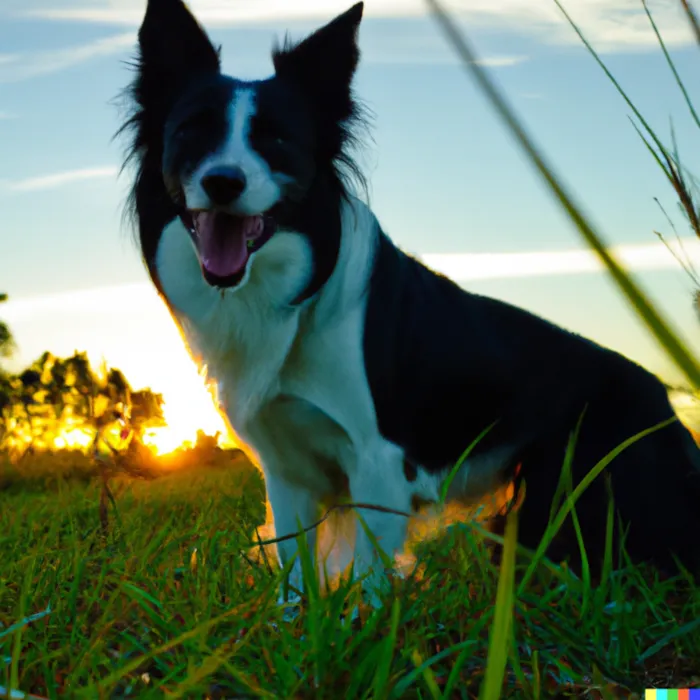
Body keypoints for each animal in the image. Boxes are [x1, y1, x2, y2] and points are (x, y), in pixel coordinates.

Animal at [119, 0, 700, 604]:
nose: (223, 181)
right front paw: (292, 624)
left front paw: (365, 622)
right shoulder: (287, 467)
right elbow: (294, 574)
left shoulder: (378, 456)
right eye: (191, 132)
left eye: (276, 141)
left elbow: (371, 580)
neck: (289, 294)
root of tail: (662, 396)